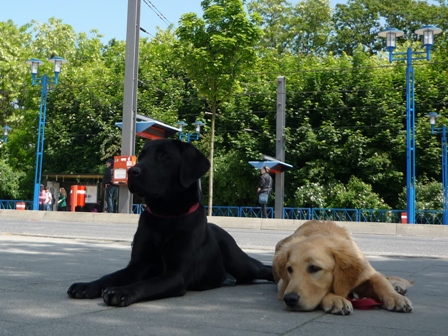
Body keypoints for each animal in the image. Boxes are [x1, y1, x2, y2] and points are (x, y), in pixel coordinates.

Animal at [66, 138, 272, 306]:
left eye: (164, 156)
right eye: (142, 156)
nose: (132, 171)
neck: (165, 216)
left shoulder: (176, 274)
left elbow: (146, 283)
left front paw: (121, 291)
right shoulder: (138, 264)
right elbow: (110, 276)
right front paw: (87, 286)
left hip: (240, 263)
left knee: (262, 268)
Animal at [272, 220, 412, 316]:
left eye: (314, 268)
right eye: (289, 269)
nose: (289, 299)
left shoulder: (367, 272)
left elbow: (380, 282)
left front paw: (395, 297)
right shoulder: (282, 286)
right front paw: (336, 299)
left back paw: (396, 286)